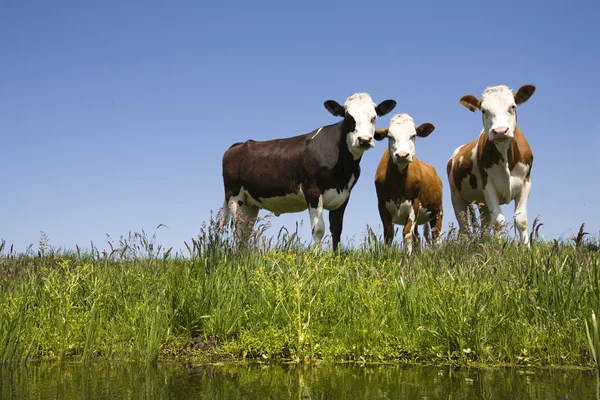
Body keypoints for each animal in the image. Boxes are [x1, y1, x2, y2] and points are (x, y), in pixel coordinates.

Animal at [223, 92, 396, 252]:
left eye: (374, 117)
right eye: (348, 117)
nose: (365, 140)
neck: (342, 168)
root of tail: (239, 144)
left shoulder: (343, 196)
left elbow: (337, 230)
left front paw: (335, 257)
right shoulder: (312, 190)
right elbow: (318, 229)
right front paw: (318, 258)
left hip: (251, 202)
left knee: (246, 230)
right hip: (234, 195)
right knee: (237, 229)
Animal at [372, 114, 442, 255]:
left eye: (413, 135)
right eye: (390, 137)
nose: (402, 155)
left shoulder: (414, 203)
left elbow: (407, 233)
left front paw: (408, 257)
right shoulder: (381, 204)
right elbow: (389, 234)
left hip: (438, 211)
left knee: (436, 236)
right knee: (417, 236)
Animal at [446, 84, 536, 245]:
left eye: (512, 106)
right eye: (483, 110)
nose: (500, 131)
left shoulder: (526, 182)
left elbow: (521, 220)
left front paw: (526, 247)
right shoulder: (488, 185)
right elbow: (498, 221)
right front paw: (499, 247)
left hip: (483, 204)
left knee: (485, 224)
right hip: (456, 196)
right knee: (464, 226)